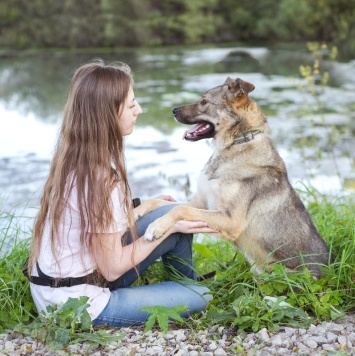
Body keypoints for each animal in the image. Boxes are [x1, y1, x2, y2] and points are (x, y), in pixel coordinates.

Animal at [135, 77, 332, 278]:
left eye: (204, 101)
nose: (173, 110)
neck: (235, 143)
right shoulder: (201, 203)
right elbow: (160, 203)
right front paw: (134, 213)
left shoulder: (229, 220)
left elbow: (180, 209)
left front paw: (156, 227)